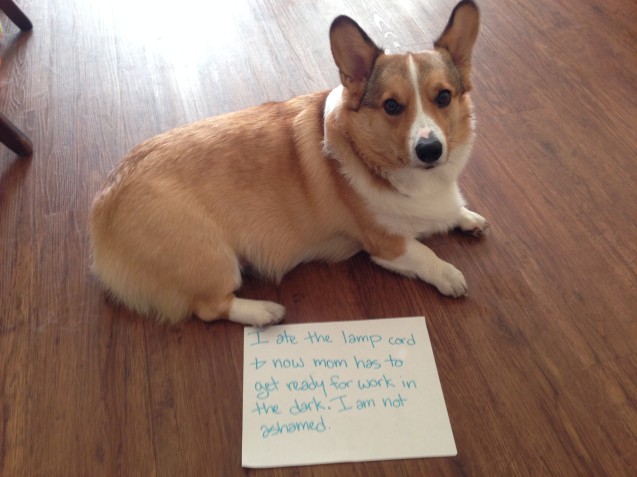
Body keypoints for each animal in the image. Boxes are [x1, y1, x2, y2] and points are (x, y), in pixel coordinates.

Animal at [88, 0, 486, 328]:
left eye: (444, 97)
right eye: (391, 106)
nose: (430, 149)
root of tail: (103, 204)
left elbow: (453, 211)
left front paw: (466, 217)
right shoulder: (386, 244)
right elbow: (424, 253)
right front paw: (449, 274)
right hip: (212, 257)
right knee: (210, 307)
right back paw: (264, 312)